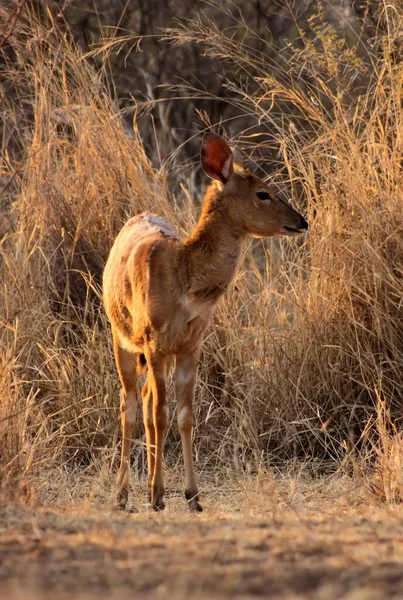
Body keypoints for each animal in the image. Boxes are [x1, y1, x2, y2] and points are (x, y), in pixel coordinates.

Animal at [104, 135, 310, 510]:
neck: (184, 283)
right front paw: (158, 495)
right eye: (263, 193)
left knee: (145, 398)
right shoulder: (154, 340)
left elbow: (185, 415)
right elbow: (161, 412)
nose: (302, 221)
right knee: (130, 404)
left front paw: (192, 496)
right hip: (121, 340)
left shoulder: (191, 344)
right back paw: (123, 495)